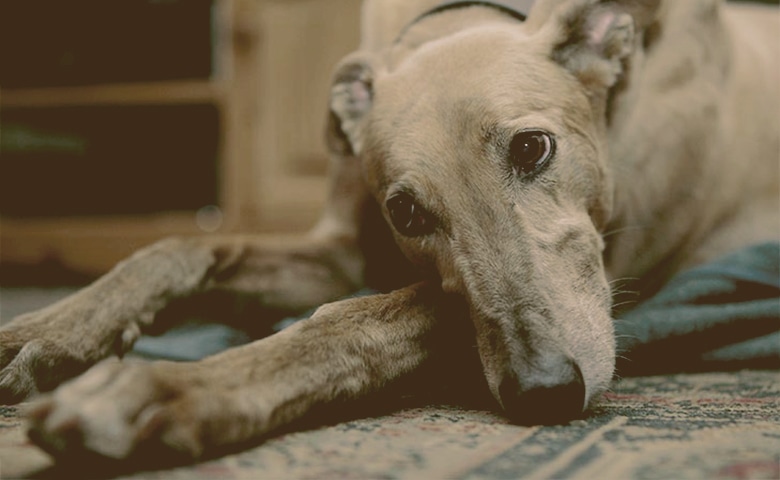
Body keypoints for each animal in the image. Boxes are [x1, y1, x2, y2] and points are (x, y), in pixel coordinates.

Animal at [1, 0, 780, 464]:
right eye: (406, 214)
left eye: (533, 148)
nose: (545, 393)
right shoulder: (347, 252)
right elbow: (183, 245)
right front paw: (49, 329)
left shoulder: (610, 261)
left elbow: (352, 322)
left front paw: (168, 388)